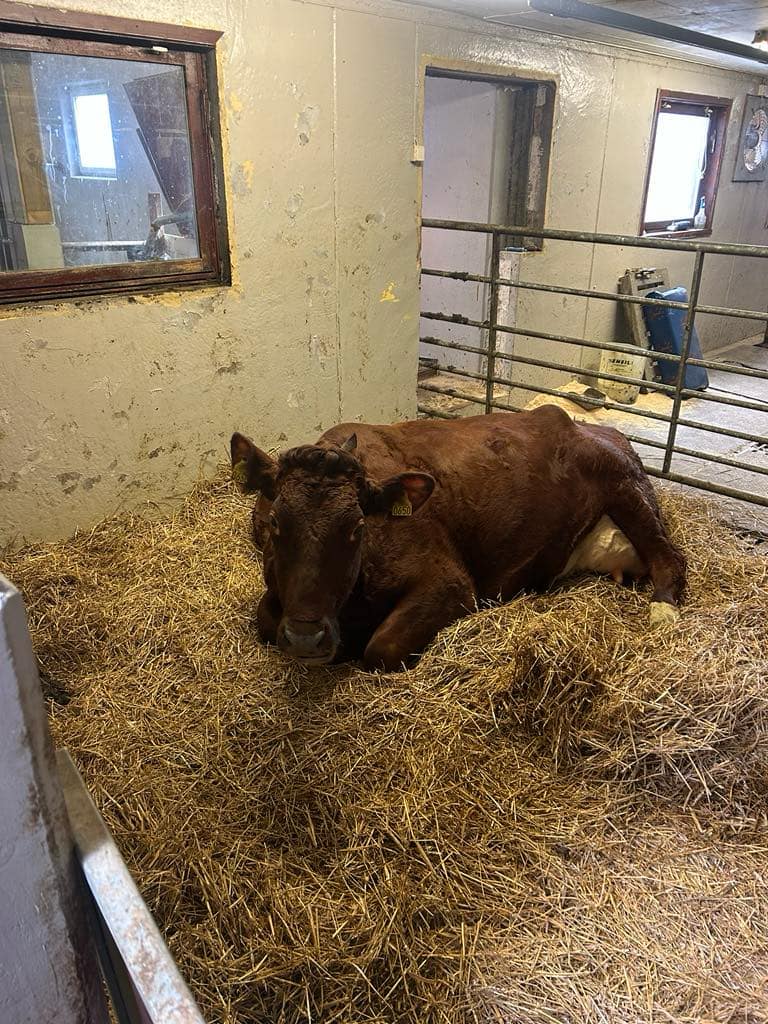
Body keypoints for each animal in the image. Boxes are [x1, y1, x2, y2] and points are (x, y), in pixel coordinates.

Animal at [230, 405, 686, 672]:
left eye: (358, 528)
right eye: (275, 524)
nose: (306, 637)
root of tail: (593, 427)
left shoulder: (449, 584)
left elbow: (382, 649)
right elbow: (265, 619)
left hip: (625, 485)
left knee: (669, 556)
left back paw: (663, 610)